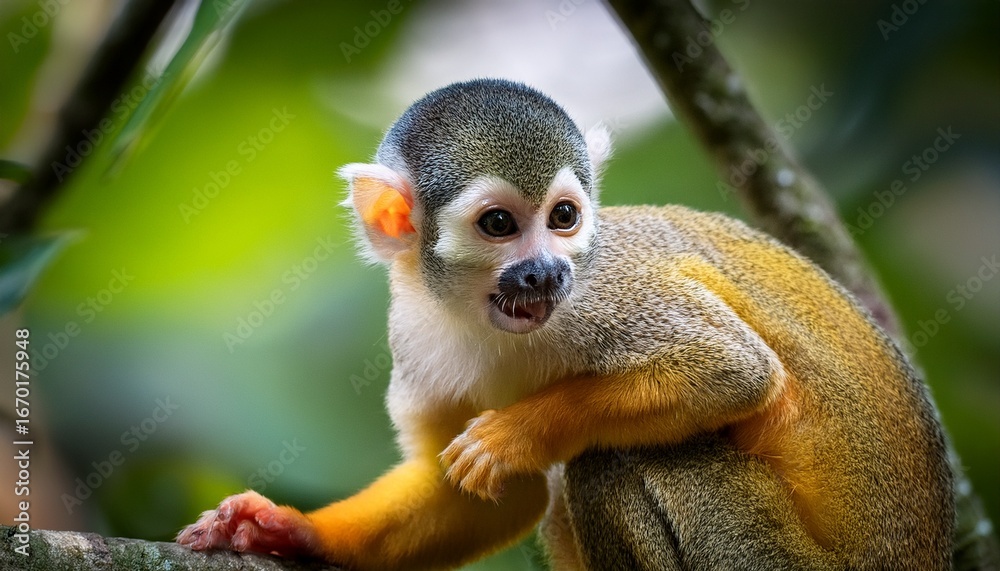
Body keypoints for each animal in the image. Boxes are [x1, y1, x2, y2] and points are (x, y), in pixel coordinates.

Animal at [176, 78, 954, 570]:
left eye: (564, 218)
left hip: (770, 561)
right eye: (499, 224)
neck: (483, 318)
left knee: (610, 461)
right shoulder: (414, 338)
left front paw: (523, 430)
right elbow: (483, 497)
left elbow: (734, 369)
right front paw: (292, 530)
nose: (546, 273)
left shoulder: (604, 289)